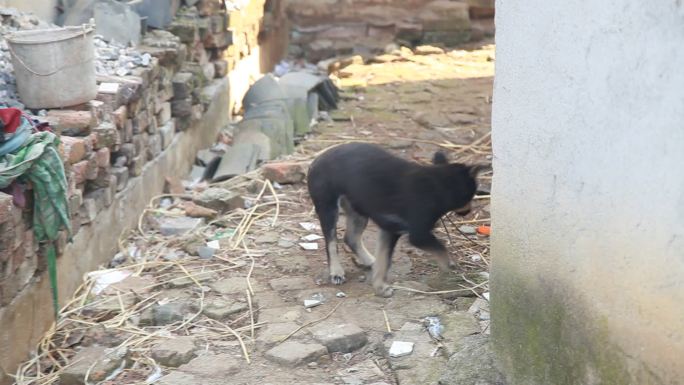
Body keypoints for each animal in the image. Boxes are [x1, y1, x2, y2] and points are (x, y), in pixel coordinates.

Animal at [308, 142, 484, 296]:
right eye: (471, 195)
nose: (469, 211)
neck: (436, 185)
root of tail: (315, 161)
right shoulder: (418, 235)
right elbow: (440, 247)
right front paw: (449, 265)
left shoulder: (390, 230)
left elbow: (384, 261)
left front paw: (379, 286)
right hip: (328, 207)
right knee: (331, 243)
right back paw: (336, 272)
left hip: (357, 210)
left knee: (351, 238)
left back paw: (369, 261)